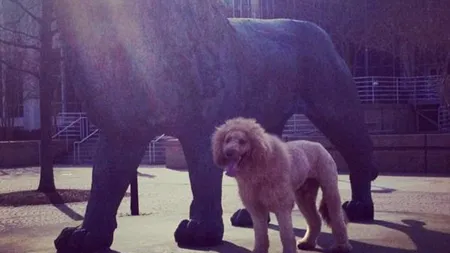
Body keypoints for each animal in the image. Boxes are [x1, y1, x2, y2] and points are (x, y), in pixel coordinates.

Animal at [211, 117, 352, 252]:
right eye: (227, 140)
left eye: (242, 141)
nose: (228, 152)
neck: (259, 165)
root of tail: (319, 145)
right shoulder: (256, 208)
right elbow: (260, 235)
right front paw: (259, 250)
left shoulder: (282, 206)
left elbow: (286, 235)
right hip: (304, 195)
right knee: (315, 219)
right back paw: (307, 243)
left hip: (330, 188)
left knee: (337, 218)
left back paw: (341, 246)